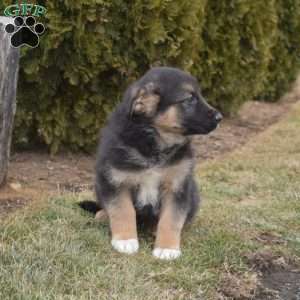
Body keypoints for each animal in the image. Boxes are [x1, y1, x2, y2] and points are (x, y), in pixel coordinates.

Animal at [85, 67, 221, 258]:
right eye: (189, 99)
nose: (219, 117)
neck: (155, 143)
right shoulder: (116, 180)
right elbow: (122, 210)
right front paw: (125, 240)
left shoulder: (177, 186)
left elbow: (171, 219)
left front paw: (167, 248)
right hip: (99, 184)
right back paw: (103, 215)